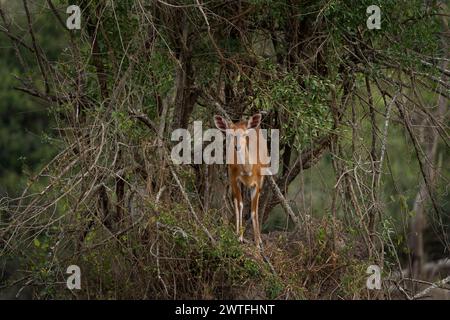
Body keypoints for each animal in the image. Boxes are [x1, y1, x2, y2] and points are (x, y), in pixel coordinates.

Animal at [214, 113, 268, 248]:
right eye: (230, 134)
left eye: (244, 134)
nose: (236, 147)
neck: (248, 171)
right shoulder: (235, 179)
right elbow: (239, 204)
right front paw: (240, 237)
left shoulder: (258, 183)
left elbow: (254, 211)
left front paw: (258, 243)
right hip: (231, 176)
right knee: (235, 200)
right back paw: (237, 232)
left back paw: (259, 239)